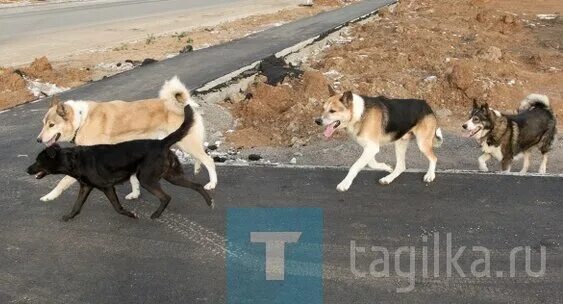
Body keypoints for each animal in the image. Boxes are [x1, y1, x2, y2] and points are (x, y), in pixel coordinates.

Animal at [25, 105, 214, 222]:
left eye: (38, 161)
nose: (27, 170)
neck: (74, 159)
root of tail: (161, 142)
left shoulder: (108, 187)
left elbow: (117, 207)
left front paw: (130, 214)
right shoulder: (85, 187)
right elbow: (77, 206)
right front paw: (68, 217)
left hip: (147, 178)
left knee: (166, 197)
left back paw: (155, 214)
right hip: (171, 175)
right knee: (197, 185)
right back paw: (209, 202)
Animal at [36, 76, 218, 202]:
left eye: (51, 125)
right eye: (43, 123)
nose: (38, 140)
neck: (81, 120)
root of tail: (181, 104)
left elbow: (62, 182)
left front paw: (49, 196)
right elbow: (132, 179)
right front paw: (135, 193)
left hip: (186, 143)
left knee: (208, 160)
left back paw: (212, 183)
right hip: (183, 143)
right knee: (201, 156)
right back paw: (197, 168)